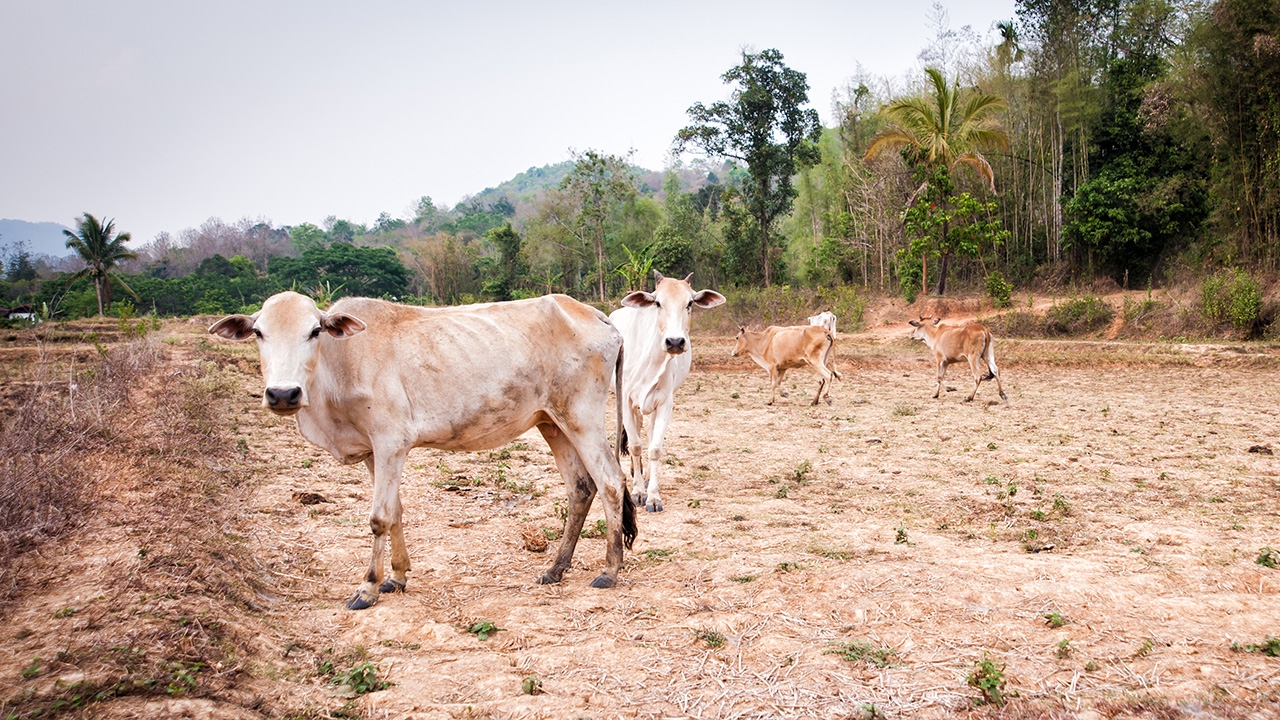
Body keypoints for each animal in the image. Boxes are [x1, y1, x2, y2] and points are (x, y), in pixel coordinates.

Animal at [208, 288, 640, 607]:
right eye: (259, 333)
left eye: (314, 331)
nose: (283, 394)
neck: (340, 362)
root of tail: (596, 315)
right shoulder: (373, 452)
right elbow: (396, 511)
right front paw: (396, 577)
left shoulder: (390, 443)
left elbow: (379, 517)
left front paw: (367, 587)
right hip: (551, 422)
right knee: (580, 488)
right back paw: (555, 569)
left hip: (581, 417)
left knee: (611, 482)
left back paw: (609, 570)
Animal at [606, 269, 721, 509]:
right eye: (658, 302)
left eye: (690, 303)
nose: (675, 342)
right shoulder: (626, 400)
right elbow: (636, 445)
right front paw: (638, 492)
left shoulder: (665, 402)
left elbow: (655, 448)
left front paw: (653, 494)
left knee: (649, 434)